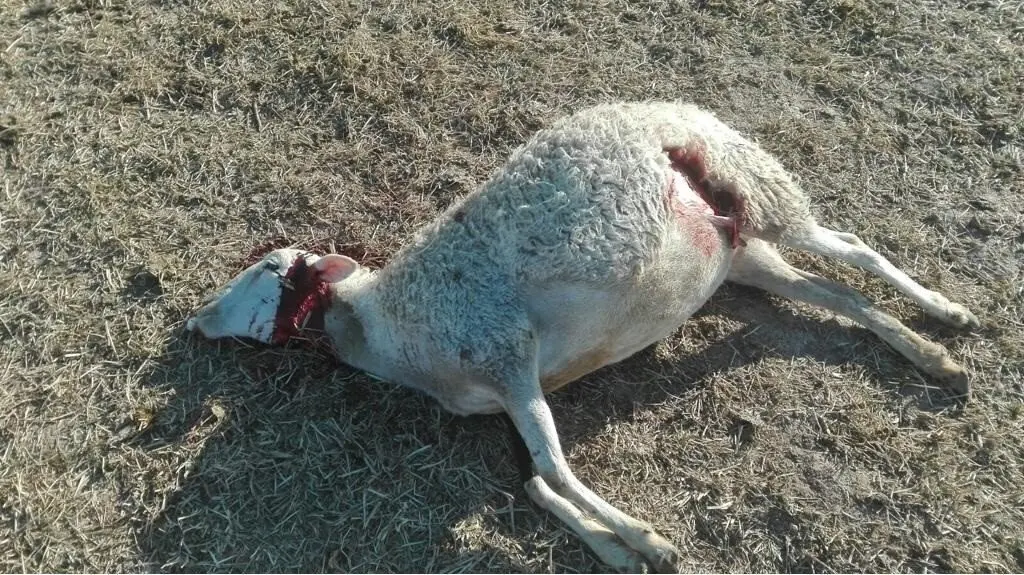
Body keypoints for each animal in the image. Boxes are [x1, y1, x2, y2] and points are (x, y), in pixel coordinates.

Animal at [185, 101, 978, 572]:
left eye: (268, 269)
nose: (194, 322)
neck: (386, 328)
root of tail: (675, 107)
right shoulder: (507, 391)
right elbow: (538, 482)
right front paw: (620, 550)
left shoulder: (504, 350)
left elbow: (556, 471)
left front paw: (647, 539)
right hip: (743, 251)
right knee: (838, 291)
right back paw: (933, 357)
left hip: (758, 186)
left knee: (855, 250)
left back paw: (949, 317)